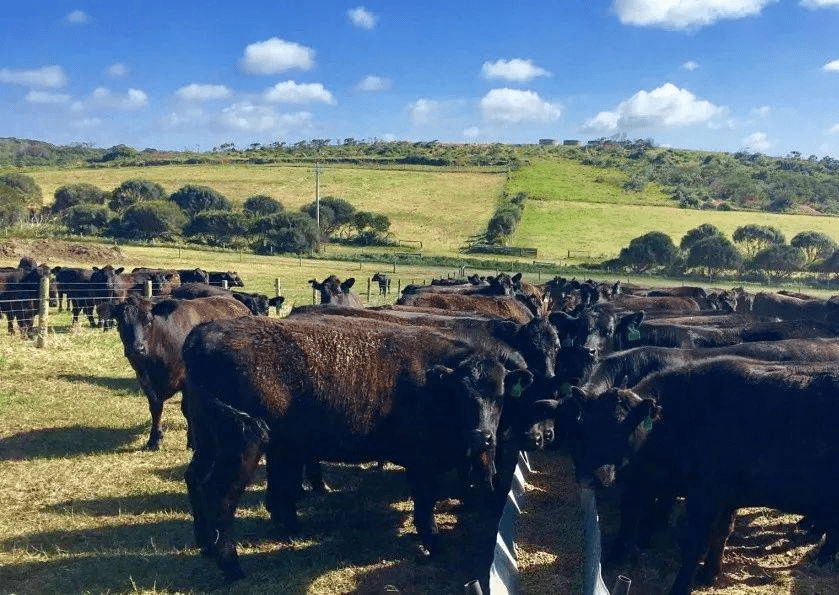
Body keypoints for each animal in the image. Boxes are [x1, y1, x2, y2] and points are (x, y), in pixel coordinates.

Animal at [106, 296, 249, 450]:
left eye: (149, 321)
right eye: (121, 323)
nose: (137, 349)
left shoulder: (186, 380)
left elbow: (186, 410)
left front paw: (192, 441)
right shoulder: (145, 380)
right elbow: (155, 409)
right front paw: (154, 439)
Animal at [183, 316, 536, 584]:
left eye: (500, 396)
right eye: (461, 395)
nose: (483, 437)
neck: (434, 383)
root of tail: (205, 332)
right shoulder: (422, 461)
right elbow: (425, 503)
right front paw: (434, 543)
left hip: (209, 442)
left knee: (195, 479)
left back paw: (207, 544)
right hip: (243, 442)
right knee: (220, 496)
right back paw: (231, 567)